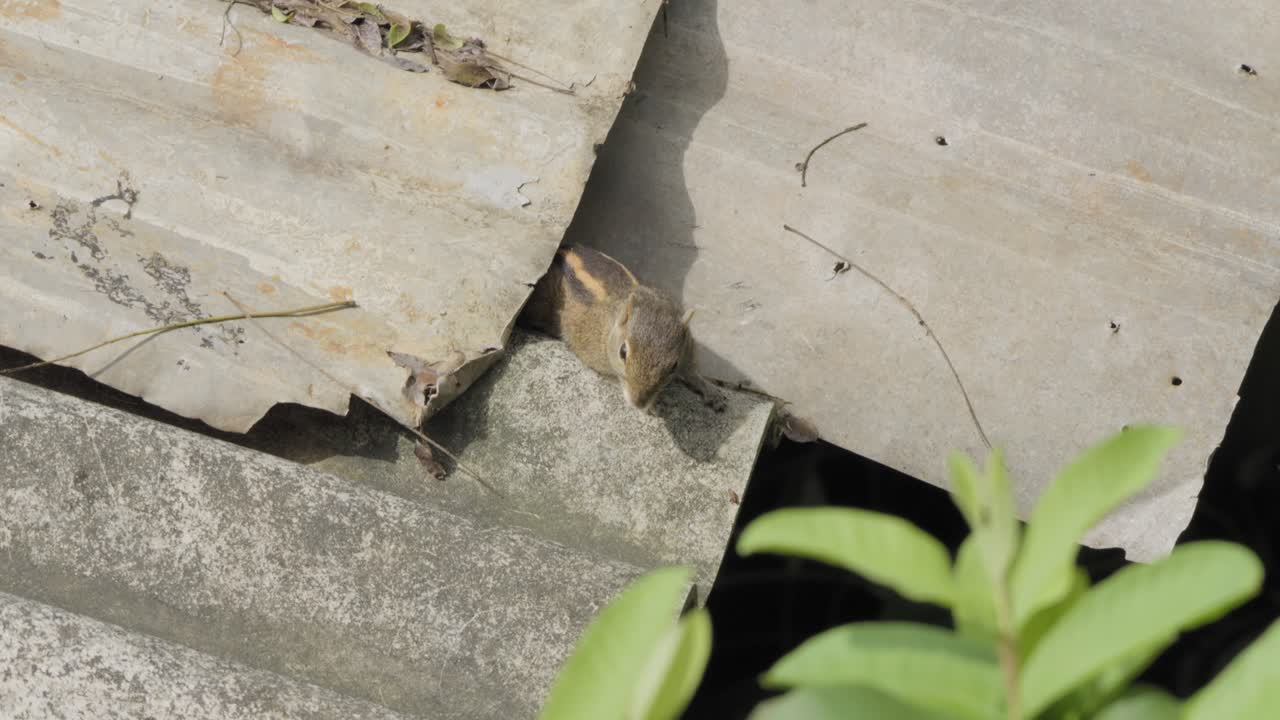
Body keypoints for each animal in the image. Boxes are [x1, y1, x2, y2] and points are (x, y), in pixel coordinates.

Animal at [523, 245, 726, 413]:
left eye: (673, 366)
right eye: (623, 352)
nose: (639, 403)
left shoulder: (688, 345)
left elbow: (692, 370)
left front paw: (711, 390)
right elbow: (613, 377)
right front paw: (655, 407)